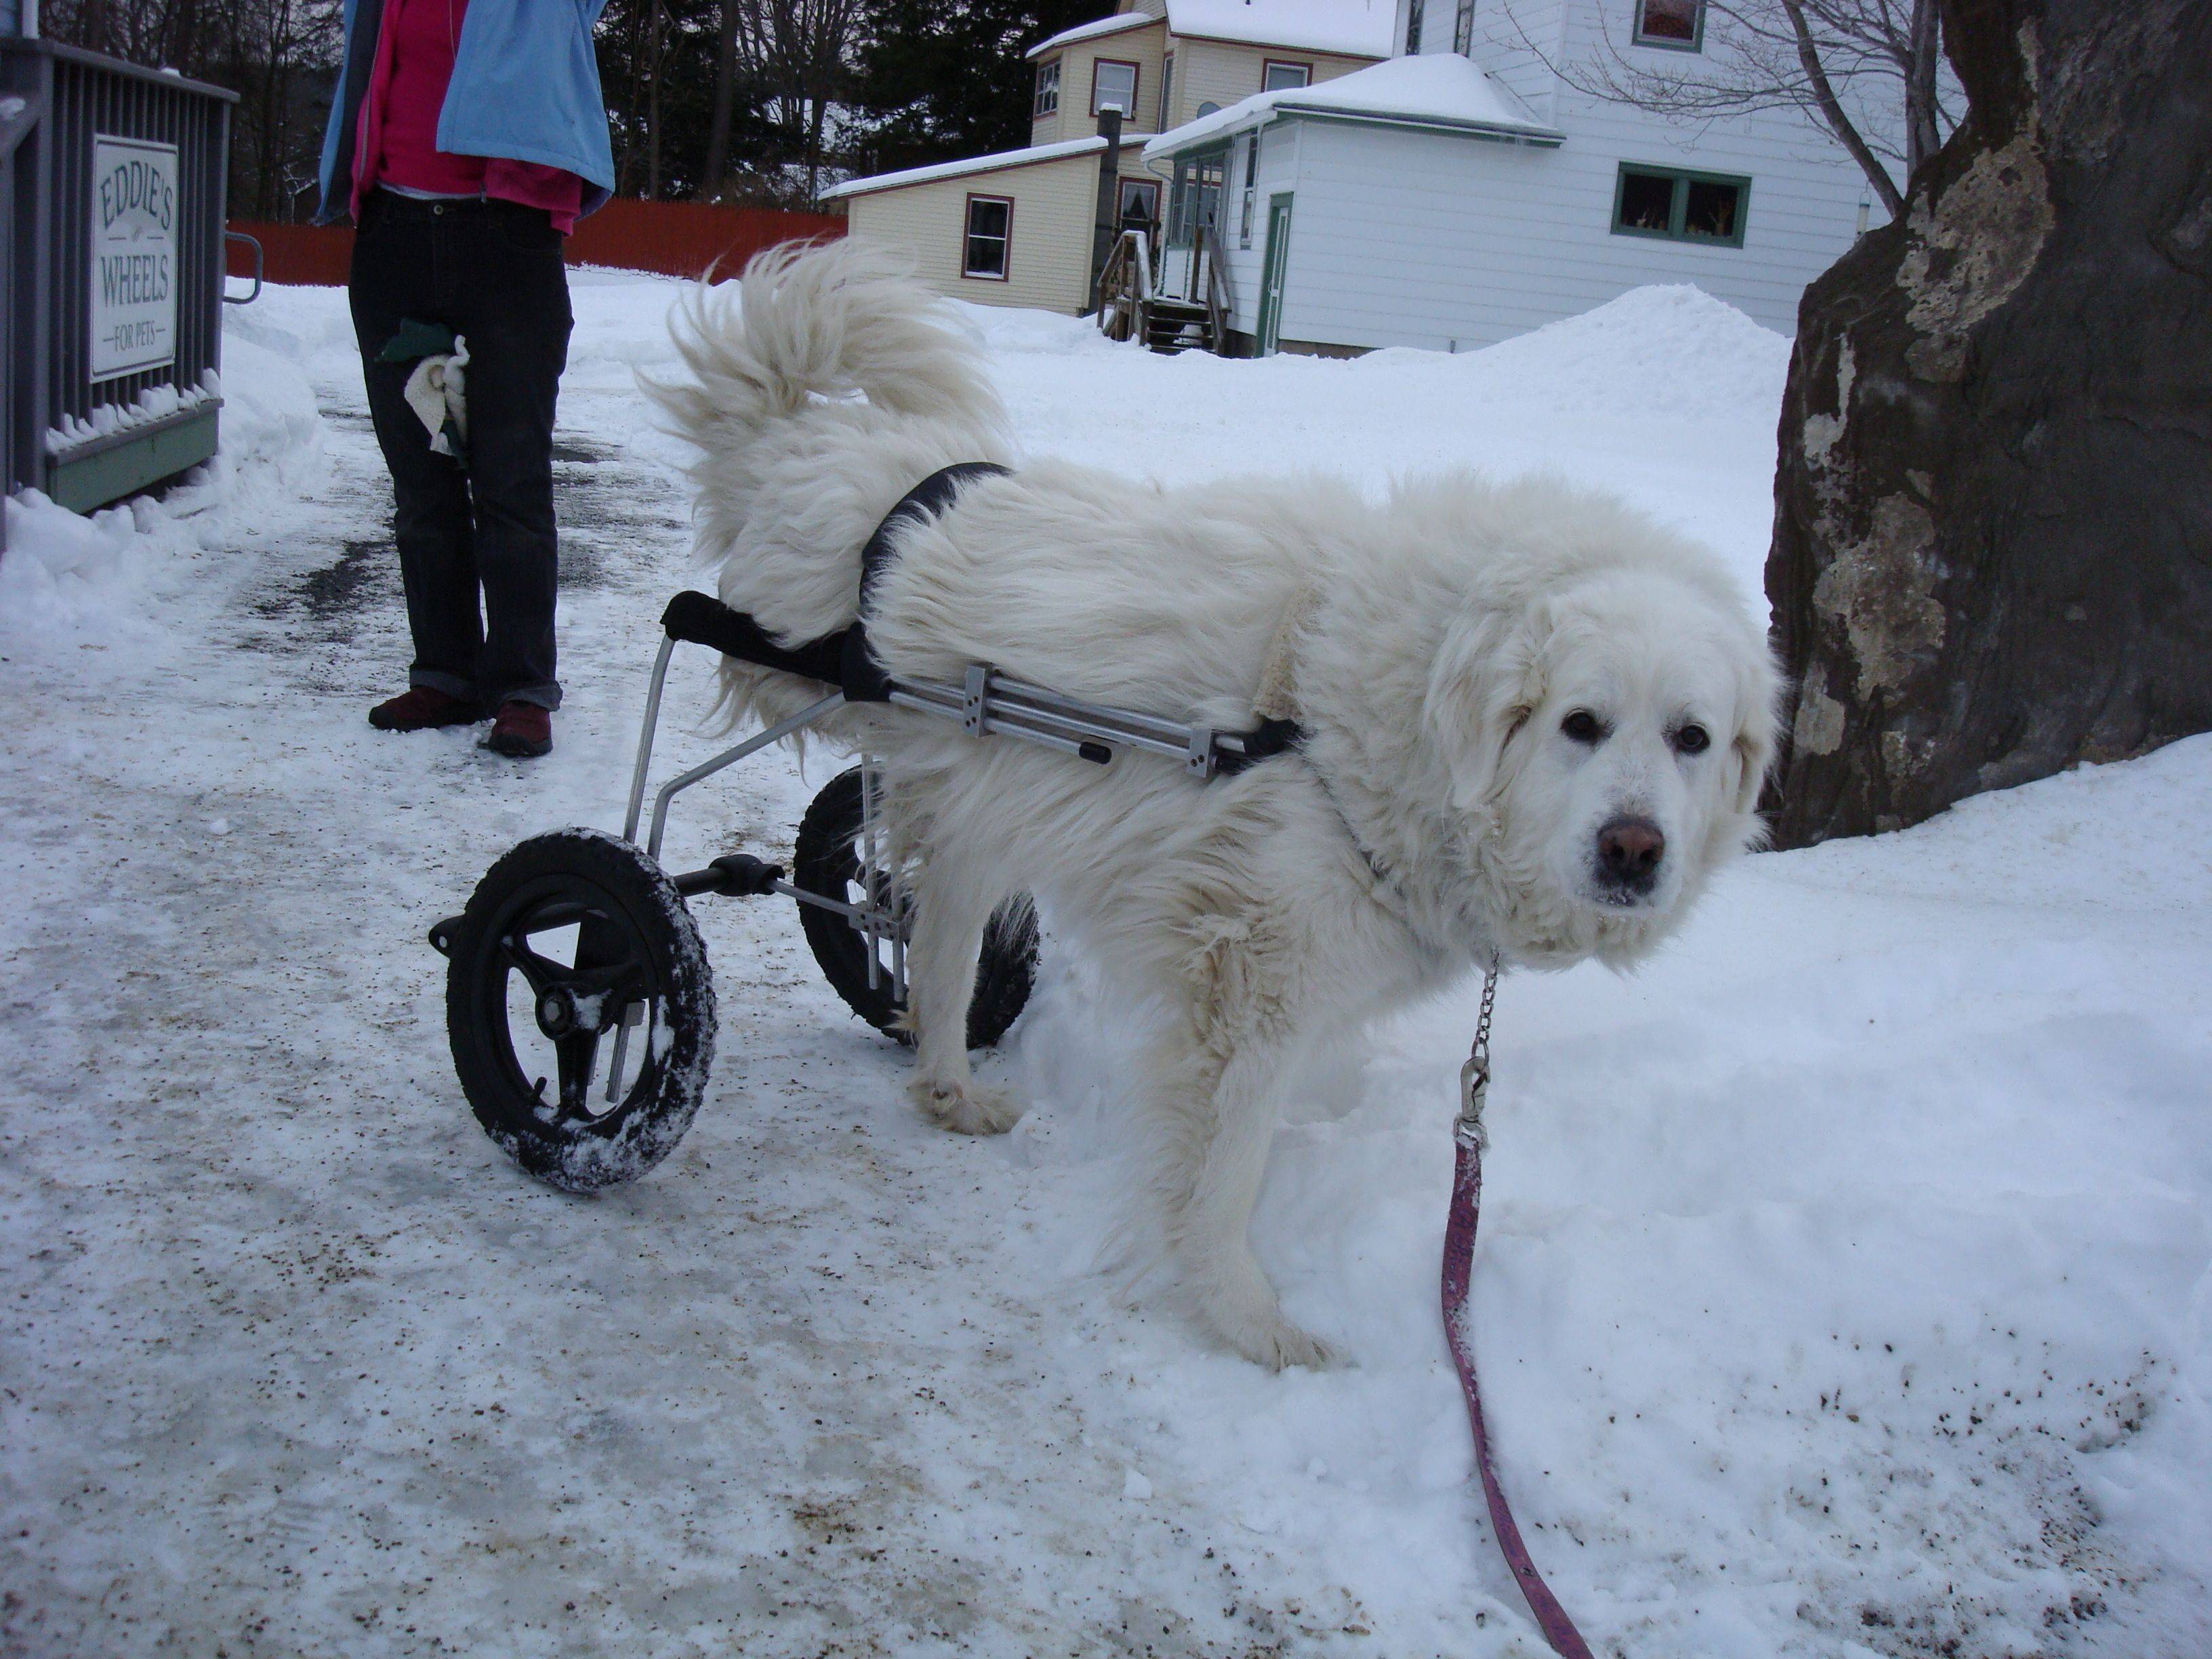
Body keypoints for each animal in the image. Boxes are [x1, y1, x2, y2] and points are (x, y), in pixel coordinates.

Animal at [655, 243, 1778, 1362]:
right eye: (1580, 723)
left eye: (1691, 738)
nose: (1635, 849)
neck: (1390, 702)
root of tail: (813, 441)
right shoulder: (1252, 982)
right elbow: (1224, 1178)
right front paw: (1246, 1318)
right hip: (814, 678)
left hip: (984, 814)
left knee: (931, 950)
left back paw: (948, 1087)